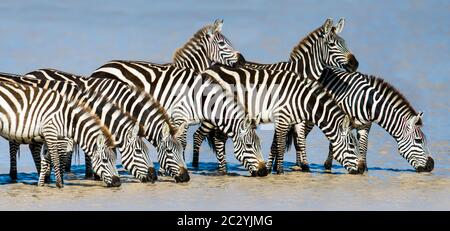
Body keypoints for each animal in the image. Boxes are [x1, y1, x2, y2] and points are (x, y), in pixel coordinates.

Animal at [192, 18, 360, 171]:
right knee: (199, 136)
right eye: (332, 45)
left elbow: (293, 142)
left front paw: (283, 166)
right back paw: (197, 166)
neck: (300, 72)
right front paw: (274, 167)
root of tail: (212, 66)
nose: (355, 64)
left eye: (345, 43)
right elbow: (280, 144)